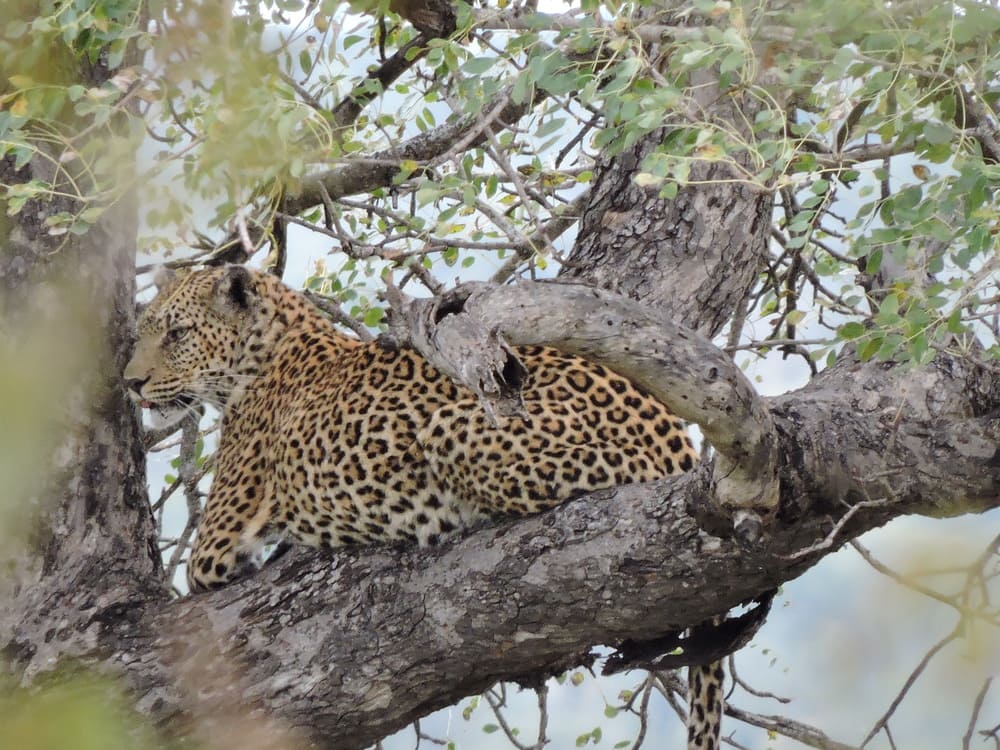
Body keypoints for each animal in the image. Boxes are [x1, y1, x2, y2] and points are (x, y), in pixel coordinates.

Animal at [125, 264, 724, 750]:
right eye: (144, 335)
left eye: (177, 335)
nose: (132, 383)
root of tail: (676, 441)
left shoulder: (215, 548)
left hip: (454, 430)